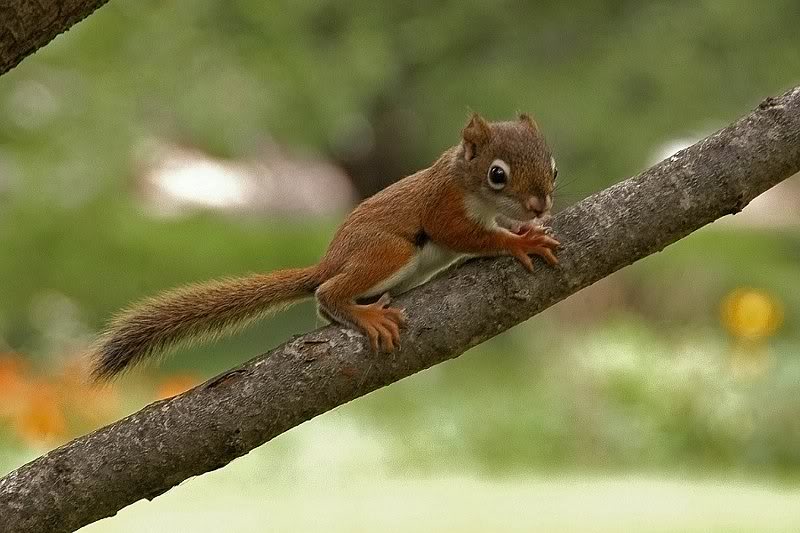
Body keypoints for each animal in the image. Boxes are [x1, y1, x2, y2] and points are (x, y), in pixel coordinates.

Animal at [90, 113, 560, 380]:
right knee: (325, 292)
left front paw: (528, 227)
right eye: (497, 174)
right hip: (388, 251)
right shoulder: (442, 208)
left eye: (553, 168)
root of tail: (329, 261)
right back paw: (360, 313)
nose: (540, 205)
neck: (466, 180)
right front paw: (519, 241)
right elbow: (469, 236)